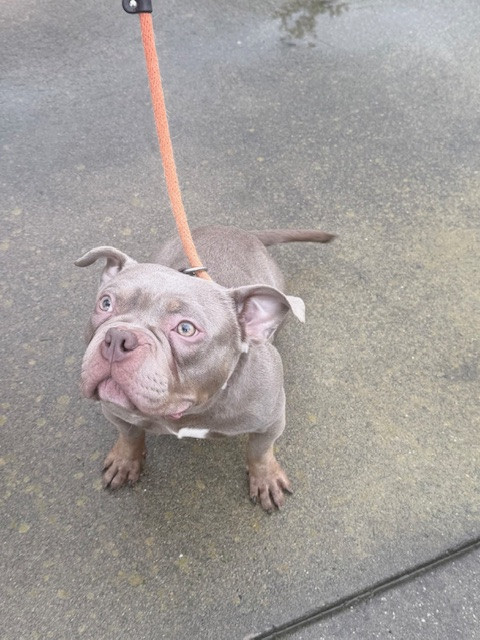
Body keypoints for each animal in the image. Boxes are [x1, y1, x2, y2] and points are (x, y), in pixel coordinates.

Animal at [75, 225, 334, 511]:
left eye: (186, 329)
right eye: (105, 303)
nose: (119, 337)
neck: (193, 408)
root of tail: (242, 232)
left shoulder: (271, 421)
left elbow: (260, 451)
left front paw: (265, 477)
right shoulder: (115, 410)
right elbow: (129, 435)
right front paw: (125, 460)